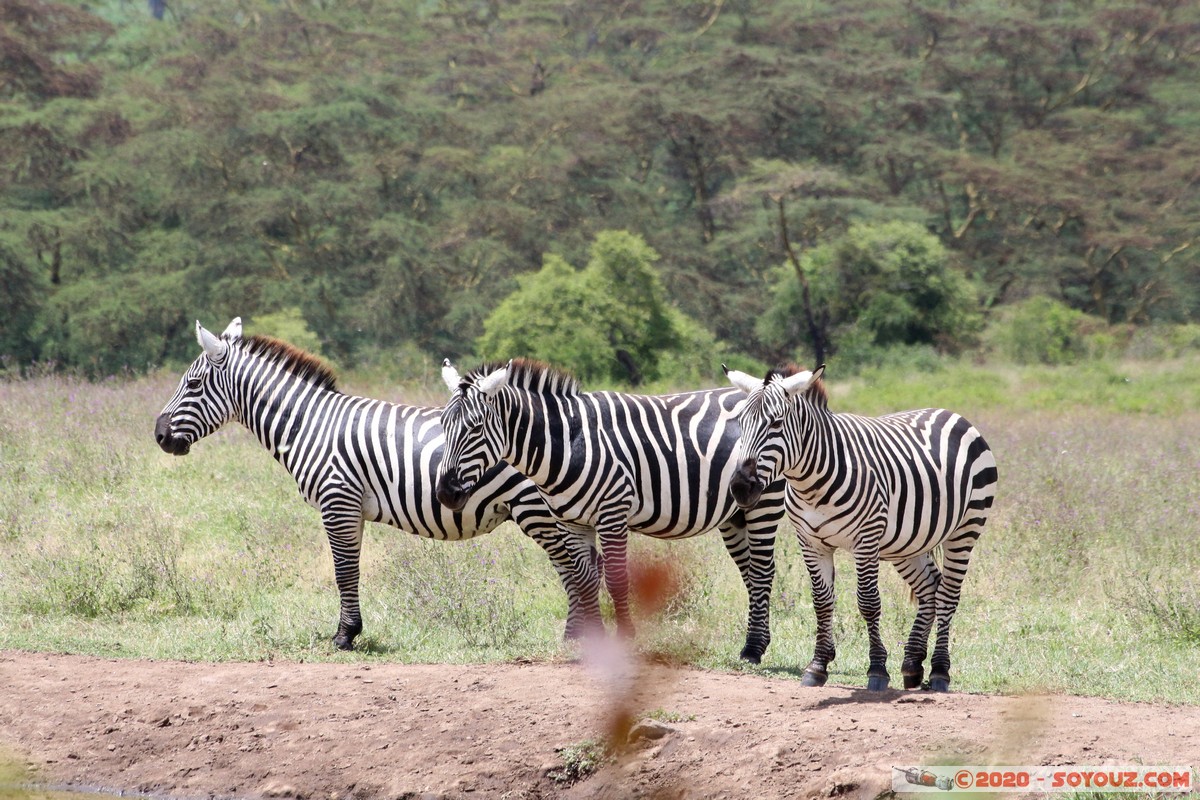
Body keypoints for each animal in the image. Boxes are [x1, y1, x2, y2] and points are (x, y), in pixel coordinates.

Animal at [154, 318, 602, 650]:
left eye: (192, 385)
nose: (159, 435)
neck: (310, 425)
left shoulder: (338, 500)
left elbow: (343, 570)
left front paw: (344, 636)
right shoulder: (352, 508)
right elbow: (350, 568)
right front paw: (350, 631)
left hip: (539, 511)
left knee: (576, 570)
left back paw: (576, 639)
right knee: (584, 568)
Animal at [434, 358, 788, 663]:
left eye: (476, 427)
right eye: (442, 424)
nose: (446, 493)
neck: (569, 444)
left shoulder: (612, 513)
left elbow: (617, 578)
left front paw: (626, 638)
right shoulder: (571, 522)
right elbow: (584, 579)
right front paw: (595, 642)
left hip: (764, 501)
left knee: (762, 570)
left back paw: (753, 649)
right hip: (734, 514)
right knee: (751, 573)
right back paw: (755, 642)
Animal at [724, 364, 997, 691]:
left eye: (776, 423)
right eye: (740, 423)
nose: (741, 488)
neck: (811, 483)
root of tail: (952, 413)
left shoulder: (866, 539)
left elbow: (868, 602)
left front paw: (877, 670)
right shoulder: (810, 542)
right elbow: (822, 602)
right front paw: (817, 667)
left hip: (966, 529)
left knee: (948, 594)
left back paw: (939, 671)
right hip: (908, 542)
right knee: (930, 587)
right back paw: (912, 665)